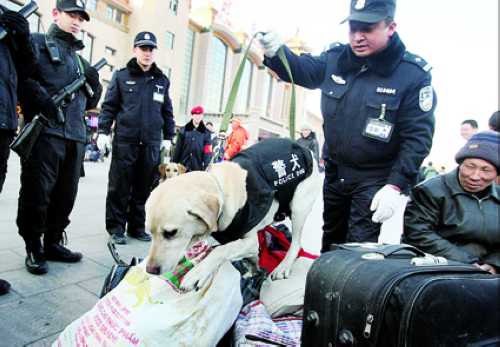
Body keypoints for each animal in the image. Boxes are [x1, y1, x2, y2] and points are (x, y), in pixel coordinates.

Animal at [146, 139, 322, 290]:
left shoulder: (249, 241)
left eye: (171, 233)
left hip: (299, 206)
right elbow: (251, 257)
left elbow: (221, 251)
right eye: (150, 232)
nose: (150, 270)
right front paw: (254, 270)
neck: (221, 188)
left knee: (296, 244)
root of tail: (306, 150)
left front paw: (197, 273)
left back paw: (283, 266)